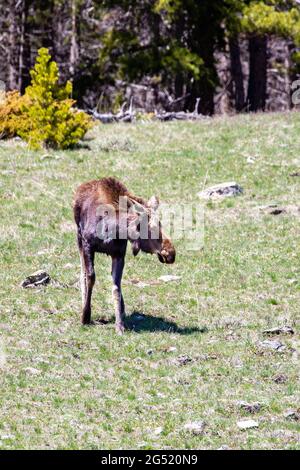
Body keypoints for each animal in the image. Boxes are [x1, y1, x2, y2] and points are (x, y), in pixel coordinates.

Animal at [73, 176, 176, 334]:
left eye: (160, 224)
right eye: (149, 228)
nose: (171, 253)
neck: (110, 231)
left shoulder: (119, 254)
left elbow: (116, 287)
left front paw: (119, 325)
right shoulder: (87, 245)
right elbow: (89, 277)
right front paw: (85, 316)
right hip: (78, 237)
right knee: (82, 273)